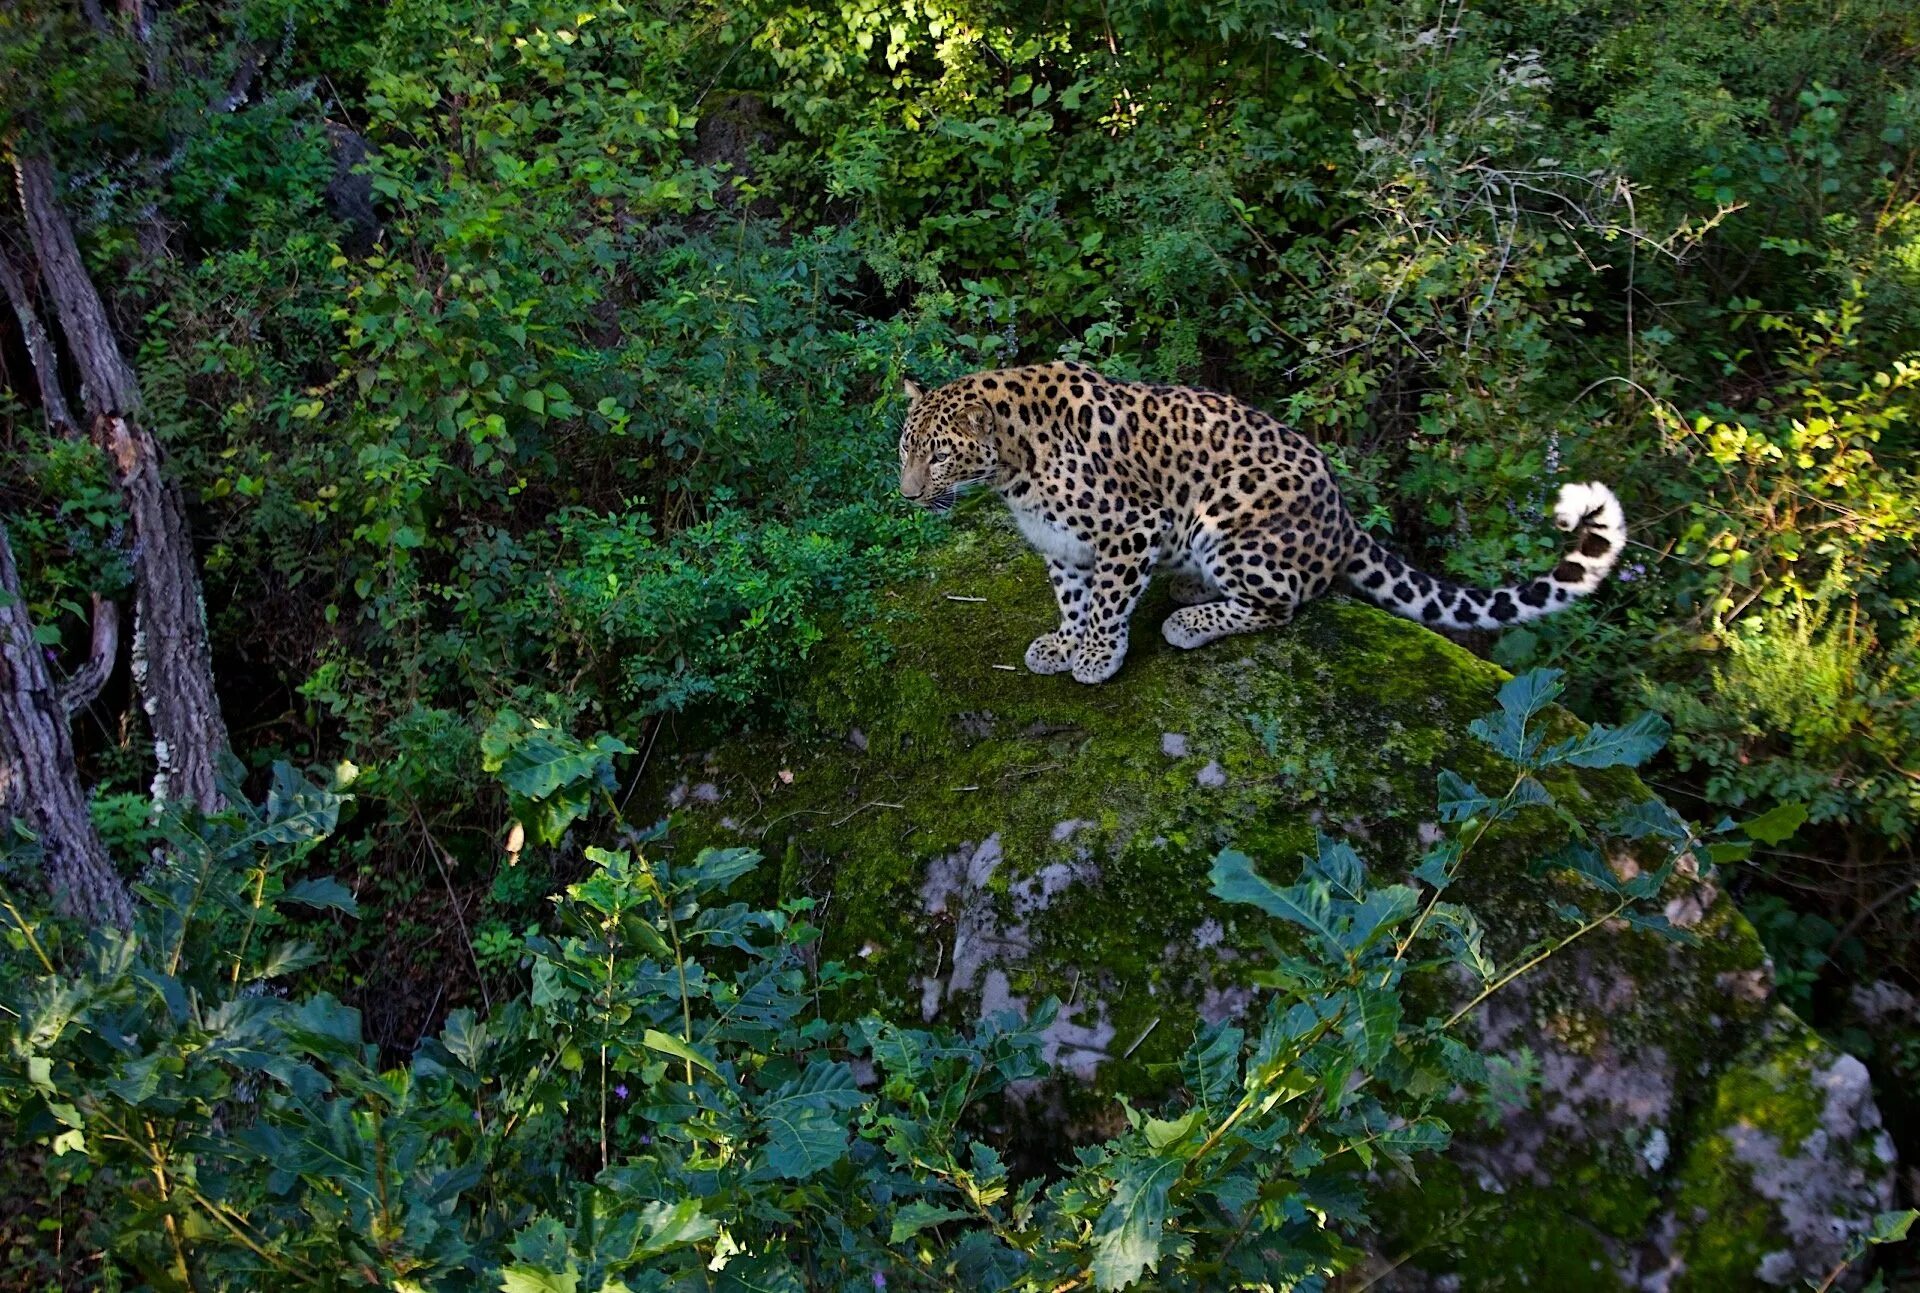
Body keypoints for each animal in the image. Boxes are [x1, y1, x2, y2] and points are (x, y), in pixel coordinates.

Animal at [894, 357, 1620, 680]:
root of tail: (1343, 516)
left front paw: (1097, 653)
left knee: (1283, 604)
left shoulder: (1133, 526)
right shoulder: (1064, 545)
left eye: (938, 454)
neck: (1012, 469)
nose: (906, 496)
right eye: (904, 450)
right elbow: (1075, 598)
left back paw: (1189, 621)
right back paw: (1188, 588)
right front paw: (1064, 643)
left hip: (1229, 514)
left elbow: (1106, 602)